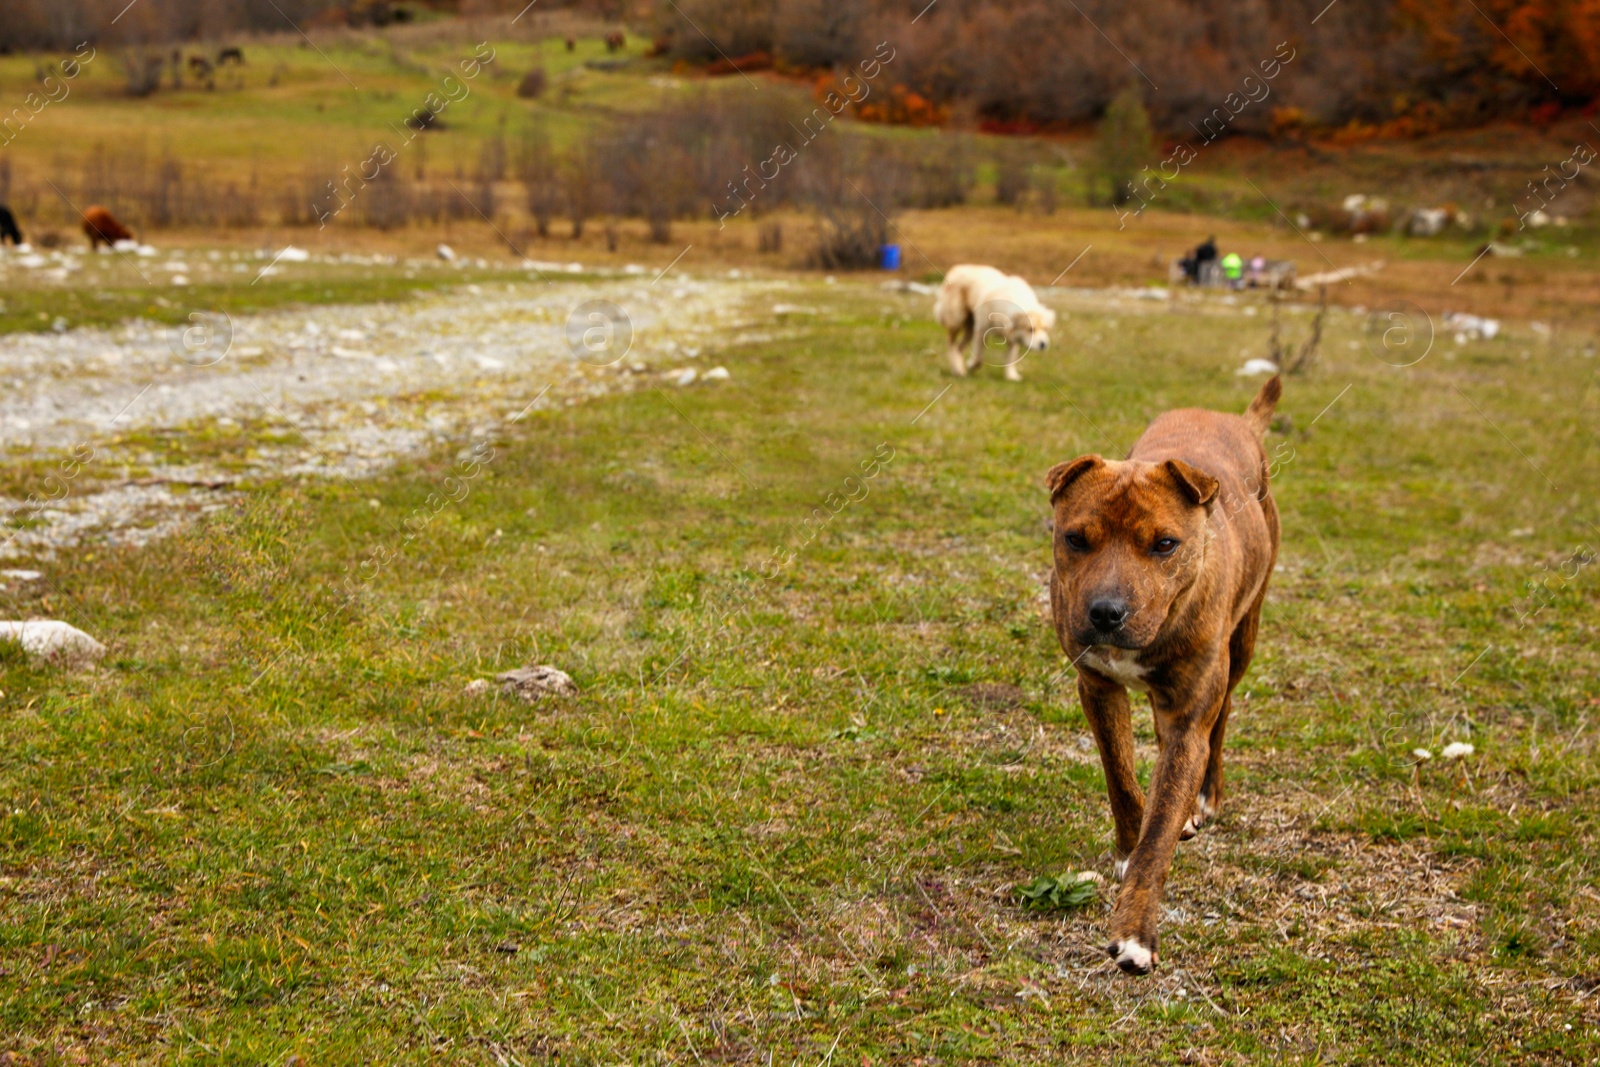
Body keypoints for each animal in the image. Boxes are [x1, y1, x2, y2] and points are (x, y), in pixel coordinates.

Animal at [1043, 375, 1280, 979]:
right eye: (1076, 538)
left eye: (1165, 544)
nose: (1106, 612)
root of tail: (1237, 419)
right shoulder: (1098, 688)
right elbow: (1121, 778)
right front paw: (1129, 845)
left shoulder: (1187, 721)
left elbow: (1160, 831)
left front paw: (1134, 932)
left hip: (1244, 637)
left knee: (1223, 719)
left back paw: (1206, 797)